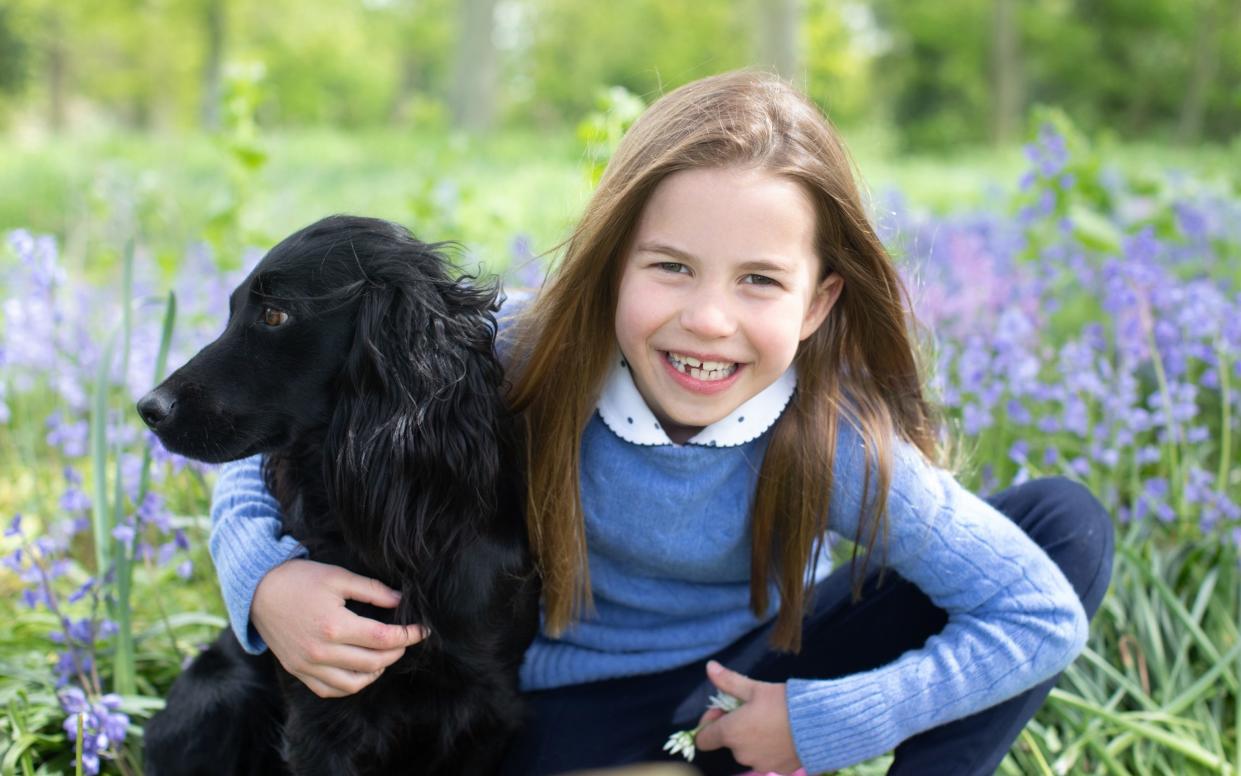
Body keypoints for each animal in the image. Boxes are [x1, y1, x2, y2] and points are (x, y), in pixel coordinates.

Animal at [138, 214, 541, 774]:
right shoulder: (322, 710)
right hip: (218, 694)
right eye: (233, 308)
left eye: (275, 314)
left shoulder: (489, 707)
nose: (148, 408)